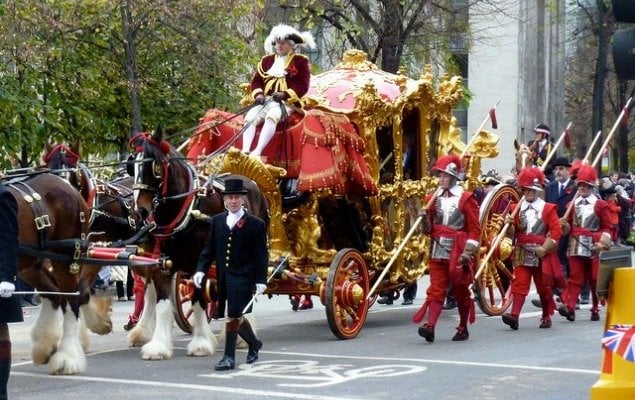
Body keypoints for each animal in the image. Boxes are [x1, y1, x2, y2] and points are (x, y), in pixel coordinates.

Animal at [4, 172, 110, 376]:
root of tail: (67, 184)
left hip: (66, 258)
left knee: (71, 300)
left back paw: (68, 357)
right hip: (32, 263)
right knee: (54, 293)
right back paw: (46, 345)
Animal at [129, 130, 268, 360]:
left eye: (155, 167)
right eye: (132, 167)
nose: (140, 211)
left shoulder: (197, 263)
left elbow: (198, 300)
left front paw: (201, 342)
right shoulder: (160, 264)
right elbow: (163, 305)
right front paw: (158, 346)